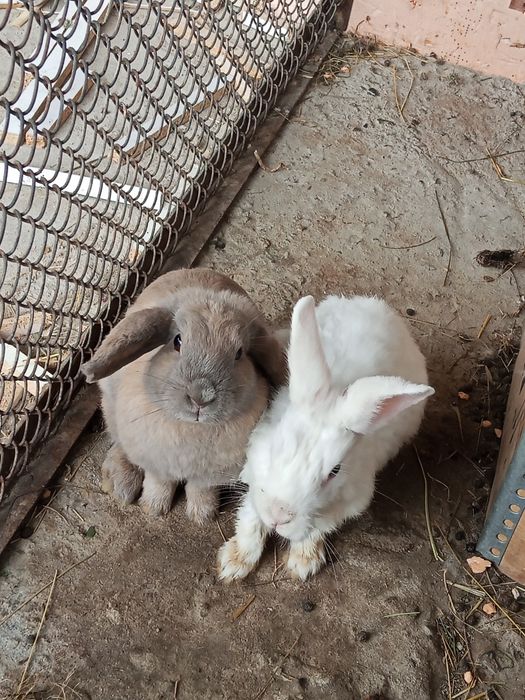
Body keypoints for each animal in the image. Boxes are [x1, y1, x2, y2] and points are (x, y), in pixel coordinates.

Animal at [81, 268, 287, 522]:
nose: (201, 396)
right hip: (110, 406)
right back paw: (121, 484)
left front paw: (202, 515)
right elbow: (159, 482)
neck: (192, 429)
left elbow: (200, 488)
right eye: (177, 341)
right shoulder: (157, 464)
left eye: (239, 353)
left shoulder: (210, 475)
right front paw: (153, 507)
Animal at [217, 294, 434, 581]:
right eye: (277, 446)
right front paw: (233, 562)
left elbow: (319, 526)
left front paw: (302, 562)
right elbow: (250, 519)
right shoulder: (255, 481)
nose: (278, 516)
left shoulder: (348, 501)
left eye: (334, 471)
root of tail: (376, 306)